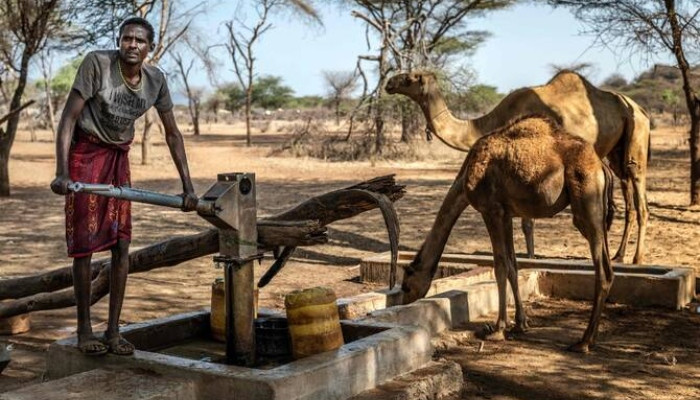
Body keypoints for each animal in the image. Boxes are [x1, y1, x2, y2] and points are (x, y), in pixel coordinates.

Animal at [385, 70, 650, 264]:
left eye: (410, 77)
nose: (388, 83)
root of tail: (639, 109)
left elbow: (527, 221)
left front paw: (530, 257)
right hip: (616, 153)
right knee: (627, 194)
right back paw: (619, 255)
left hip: (637, 138)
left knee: (639, 196)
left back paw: (636, 259)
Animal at [401, 115, 615, 352]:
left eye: (406, 285)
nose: (403, 303)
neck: (466, 176)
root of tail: (602, 167)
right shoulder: (507, 214)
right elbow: (513, 265)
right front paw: (521, 324)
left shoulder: (491, 210)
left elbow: (500, 266)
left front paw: (498, 329)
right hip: (599, 212)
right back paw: (590, 339)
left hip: (586, 202)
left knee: (602, 270)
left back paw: (583, 342)